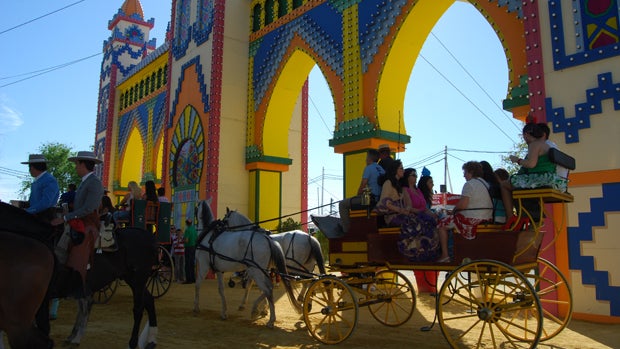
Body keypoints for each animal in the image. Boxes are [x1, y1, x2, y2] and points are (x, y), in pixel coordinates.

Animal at [0, 201, 160, 348]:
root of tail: (149, 236)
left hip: (138, 279)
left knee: (138, 308)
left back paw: (133, 342)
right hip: (132, 279)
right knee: (149, 300)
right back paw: (151, 340)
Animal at [194, 198, 300, 326]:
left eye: (225, 219)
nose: (221, 225)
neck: (208, 236)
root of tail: (267, 239)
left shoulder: (203, 266)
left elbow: (198, 284)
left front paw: (196, 307)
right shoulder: (219, 270)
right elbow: (221, 290)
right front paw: (224, 312)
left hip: (257, 270)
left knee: (267, 289)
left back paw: (270, 319)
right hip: (262, 270)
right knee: (268, 288)